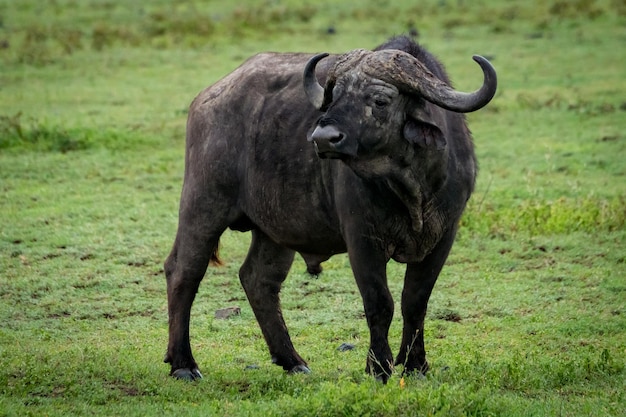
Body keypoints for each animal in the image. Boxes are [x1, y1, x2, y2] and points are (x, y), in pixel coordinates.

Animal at [163, 35, 494, 380]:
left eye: (380, 100)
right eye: (334, 96)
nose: (323, 137)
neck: (412, 189)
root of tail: (207, 99)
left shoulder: (443, 236)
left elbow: (415, 301)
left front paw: (415, 364)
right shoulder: (362, 239)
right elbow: (380, 302)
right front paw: (378, 367)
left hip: (276, 230)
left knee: (258, 279)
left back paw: (292, 360)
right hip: (203, 204)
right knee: (183, 271)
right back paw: (183, 364)